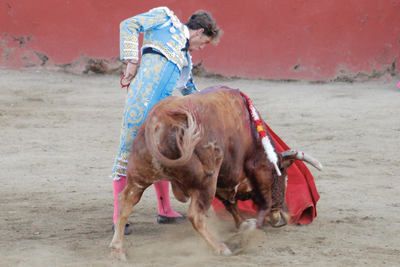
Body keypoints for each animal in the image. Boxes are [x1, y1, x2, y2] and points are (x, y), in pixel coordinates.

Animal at [109, 86, 322, 260]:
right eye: (284, 177)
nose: (283, 219)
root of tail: (161, 119)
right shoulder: (251, 172)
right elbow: (257, 202)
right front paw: (249, 227)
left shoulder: (225, 178)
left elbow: (231, 204)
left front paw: (242, 223)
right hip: (206, 182)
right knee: (196, 216)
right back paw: (221, 248)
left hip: (139, 177)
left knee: (126, 202)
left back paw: (118, 249)